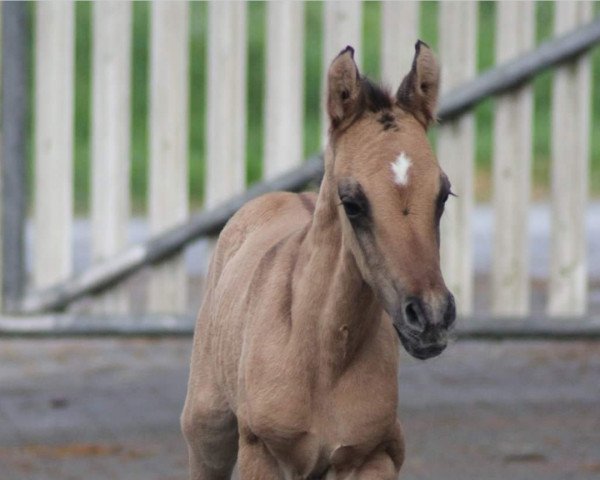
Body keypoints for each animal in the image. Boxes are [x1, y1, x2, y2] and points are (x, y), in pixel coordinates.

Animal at [182, 43, 454, 478]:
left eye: (443, 194)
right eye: (352, 202)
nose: (430, 317)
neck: (322, 357)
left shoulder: (374, 454)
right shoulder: (260, 452)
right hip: (207, 433)